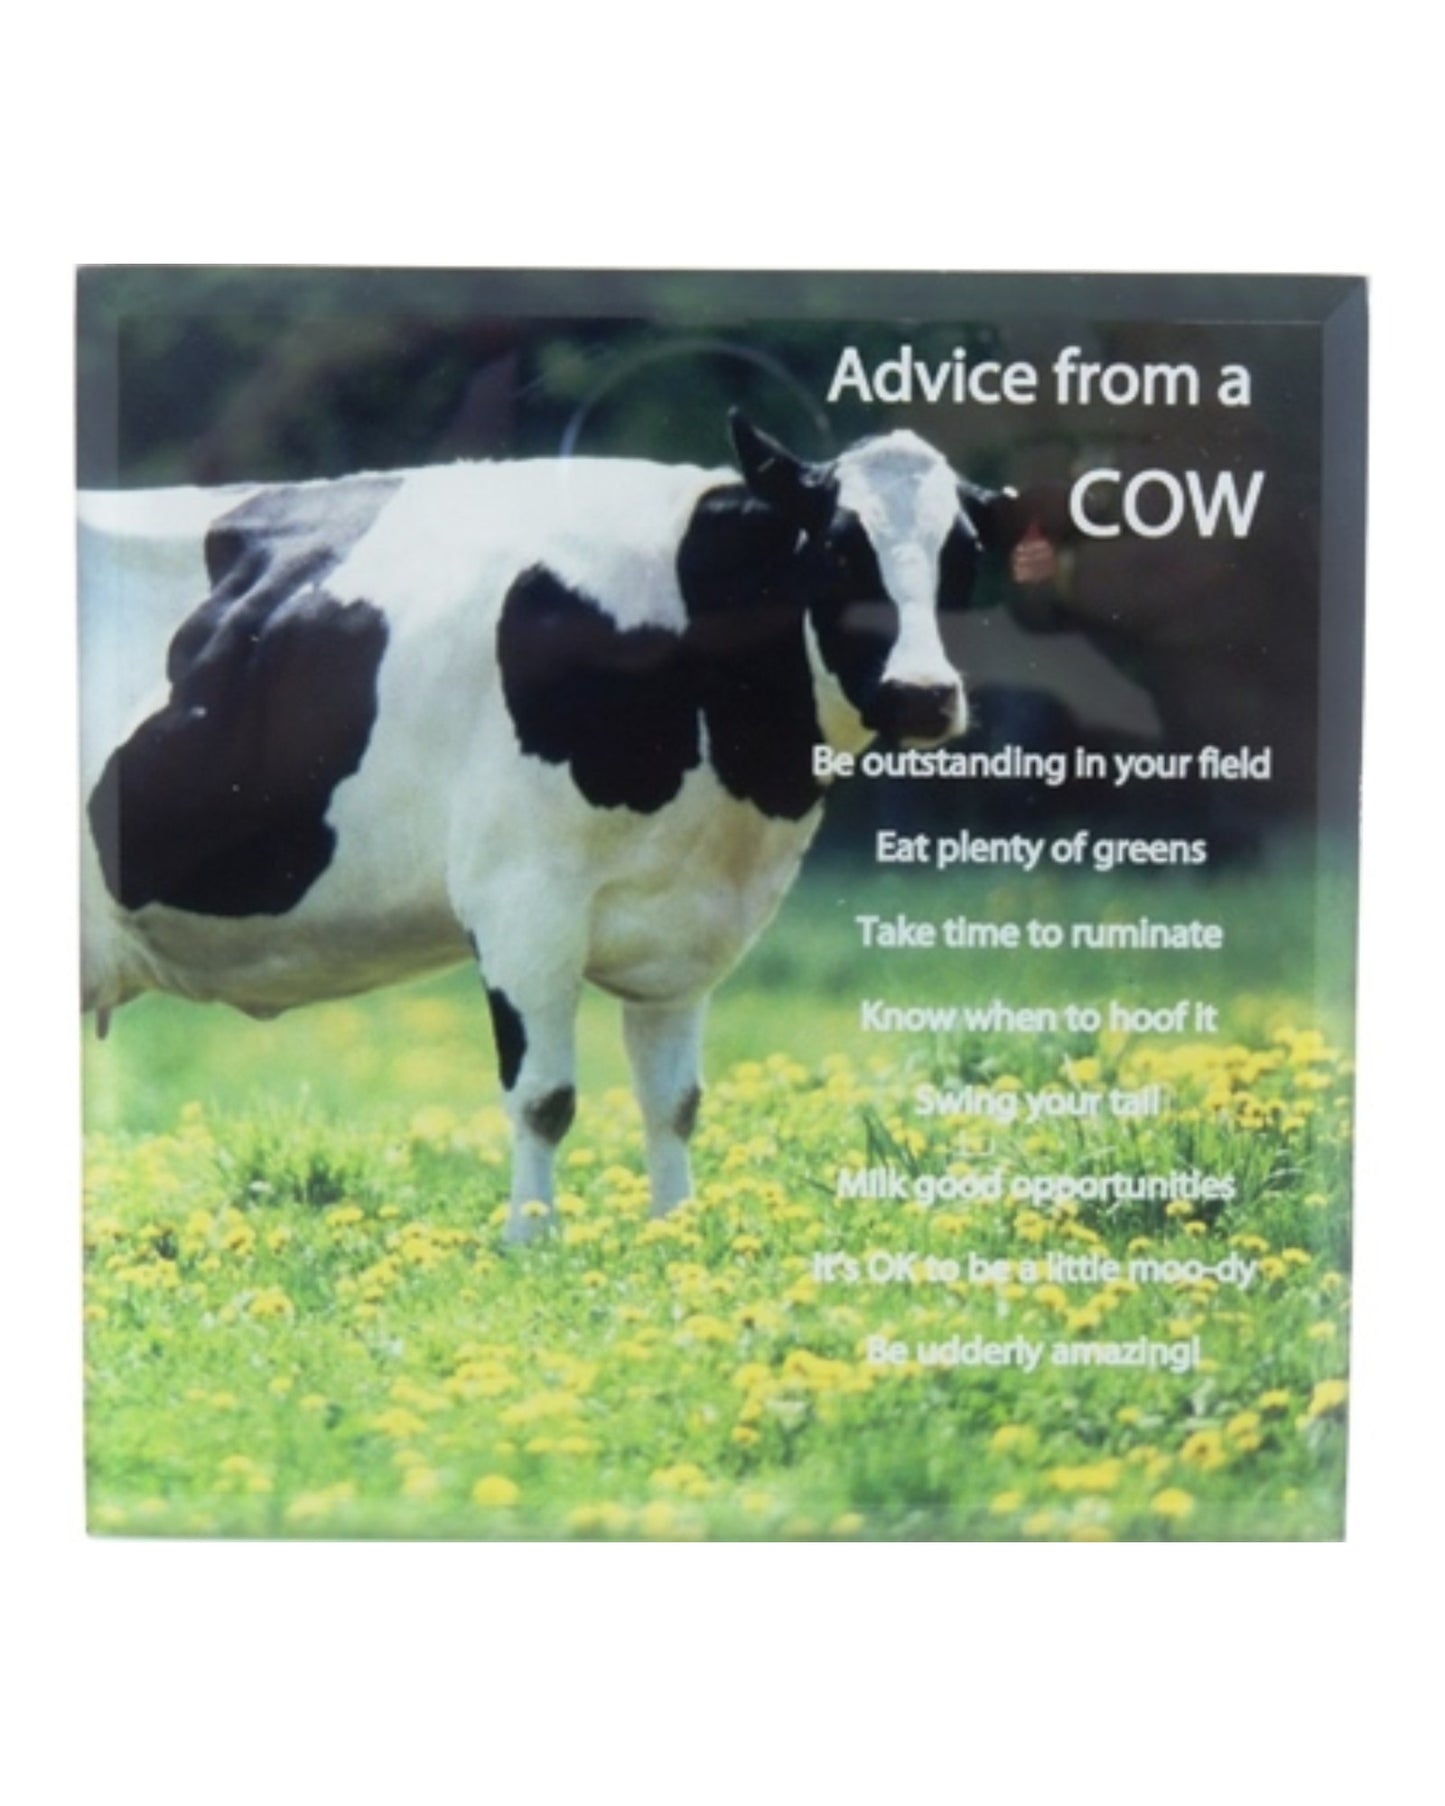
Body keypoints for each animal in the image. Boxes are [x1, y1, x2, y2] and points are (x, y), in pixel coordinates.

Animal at [79, 413, 1047, 1242]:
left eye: (963, 554)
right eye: (842, 549)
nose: (922, 694)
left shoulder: (685, 928)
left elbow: (675, 1100)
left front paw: (675, 1226)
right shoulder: (523, 901)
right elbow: (544, 1096)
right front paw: (531, 1240)